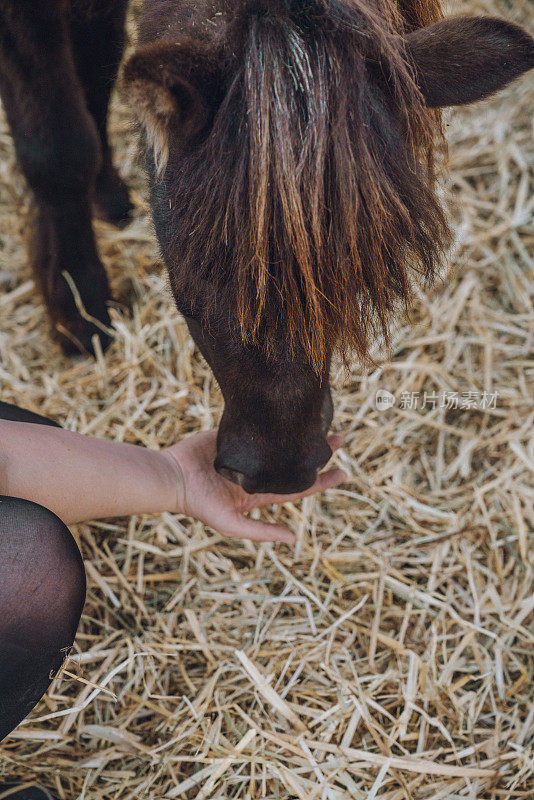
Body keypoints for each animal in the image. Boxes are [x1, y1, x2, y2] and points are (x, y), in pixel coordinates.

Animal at [1, 1, 534, 494]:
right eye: (202, 267)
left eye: (359, 271)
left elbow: (96, 69)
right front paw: (78, 313)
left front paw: (105, 197)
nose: (280, 471)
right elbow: (58, 149)